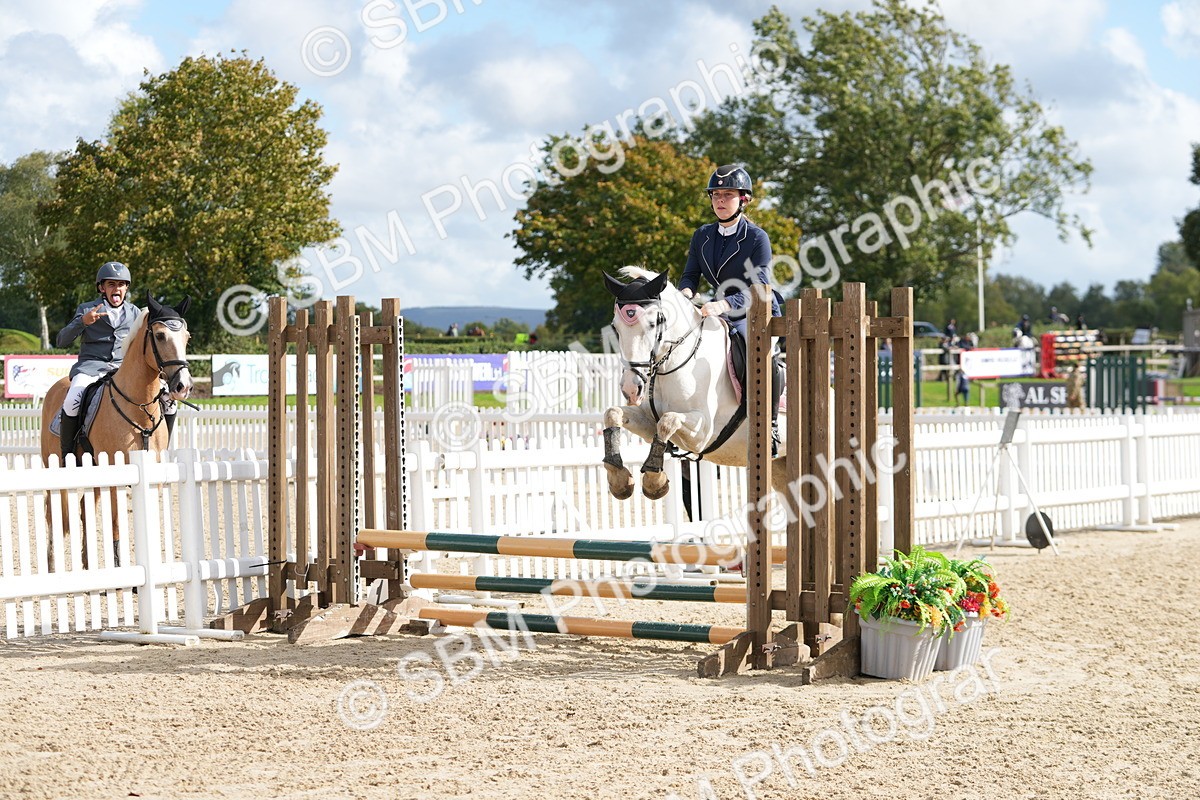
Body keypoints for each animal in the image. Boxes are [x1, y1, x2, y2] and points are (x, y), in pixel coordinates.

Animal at [39, 295, 194, 565]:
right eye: (160, 335)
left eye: (186, 337)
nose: (182, 386)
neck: (139, 406)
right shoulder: (117, 476)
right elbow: (115, 524)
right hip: (55, 467)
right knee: (53, 512)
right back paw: (51, 562)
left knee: (83, 509)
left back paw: (88, 563)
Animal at [600, 267, 787, 501]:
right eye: (616, 327)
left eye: (653, 324)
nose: (631, 389)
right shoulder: (648, 421)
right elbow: (612, 413)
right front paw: (619, 480)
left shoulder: (702, 433)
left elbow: (668, 421)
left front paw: (654, 482)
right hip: (780, 469)